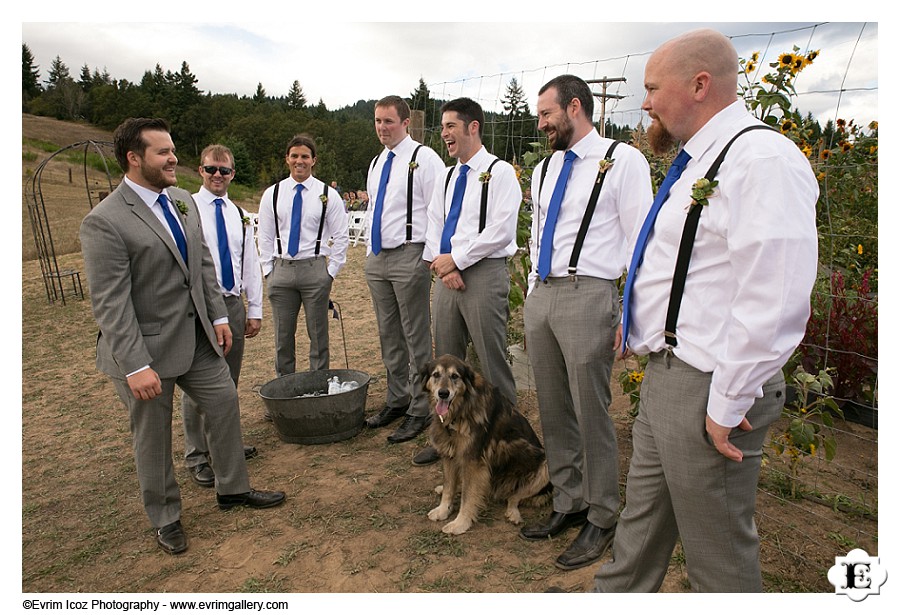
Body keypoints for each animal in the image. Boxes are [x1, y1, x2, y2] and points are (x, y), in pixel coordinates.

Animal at [420, 354, 548, 536]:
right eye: (436, 375)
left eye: (455, 376)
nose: (443, 393)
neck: (461, 410)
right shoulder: (449, 453)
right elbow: (449, 487)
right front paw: (443, 509)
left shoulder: (472, 462)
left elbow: (468, 496)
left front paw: (460, 523)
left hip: (545, 466)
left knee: (514, 497)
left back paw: (513, 514)